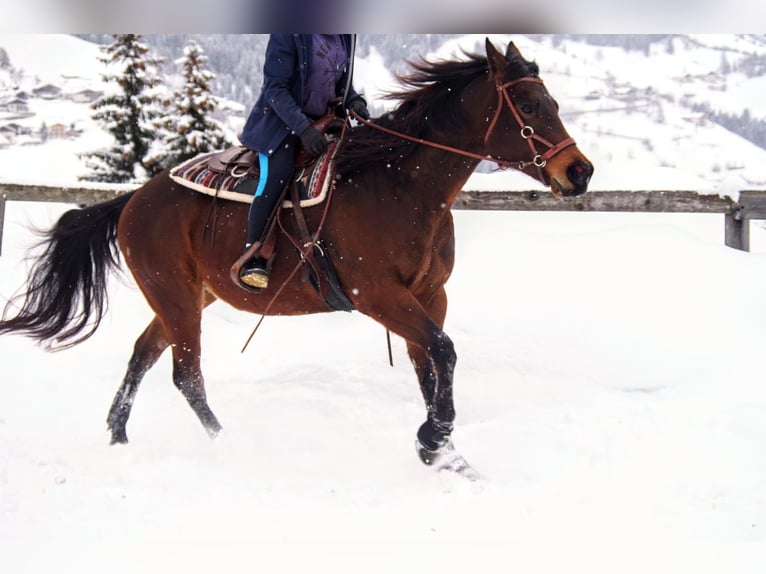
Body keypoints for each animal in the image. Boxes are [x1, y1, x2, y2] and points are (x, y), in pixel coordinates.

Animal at [0, 39, 592, 476]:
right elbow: (442, 353)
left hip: (186, 297)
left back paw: (119, 435)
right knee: (186, 374)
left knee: (143, 354)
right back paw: (224, 442)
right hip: (176, 298)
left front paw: (445, 454)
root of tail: (131, 201)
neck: (399, 185)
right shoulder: (379, 296)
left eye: (555, 104)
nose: (580, 172)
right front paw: (433, 440)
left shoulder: (429, 295)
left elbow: (431, 364)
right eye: (530, 107)